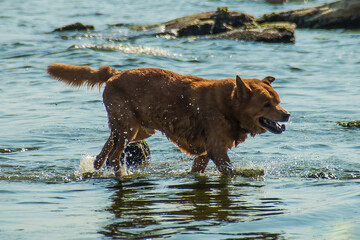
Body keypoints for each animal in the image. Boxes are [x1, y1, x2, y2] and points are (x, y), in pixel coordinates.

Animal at [47, 63, 290, 176]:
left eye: (278, 101)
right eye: (267, 104)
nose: (287, 114)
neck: (228, 106)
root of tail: (114, 73)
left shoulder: (206, 152)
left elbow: (197, 169)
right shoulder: (217, 150)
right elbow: (230, 170)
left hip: (137, 129)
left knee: (107, 147)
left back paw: (97, 165)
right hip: (130, 127)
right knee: (115, 155)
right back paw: (122, 175)